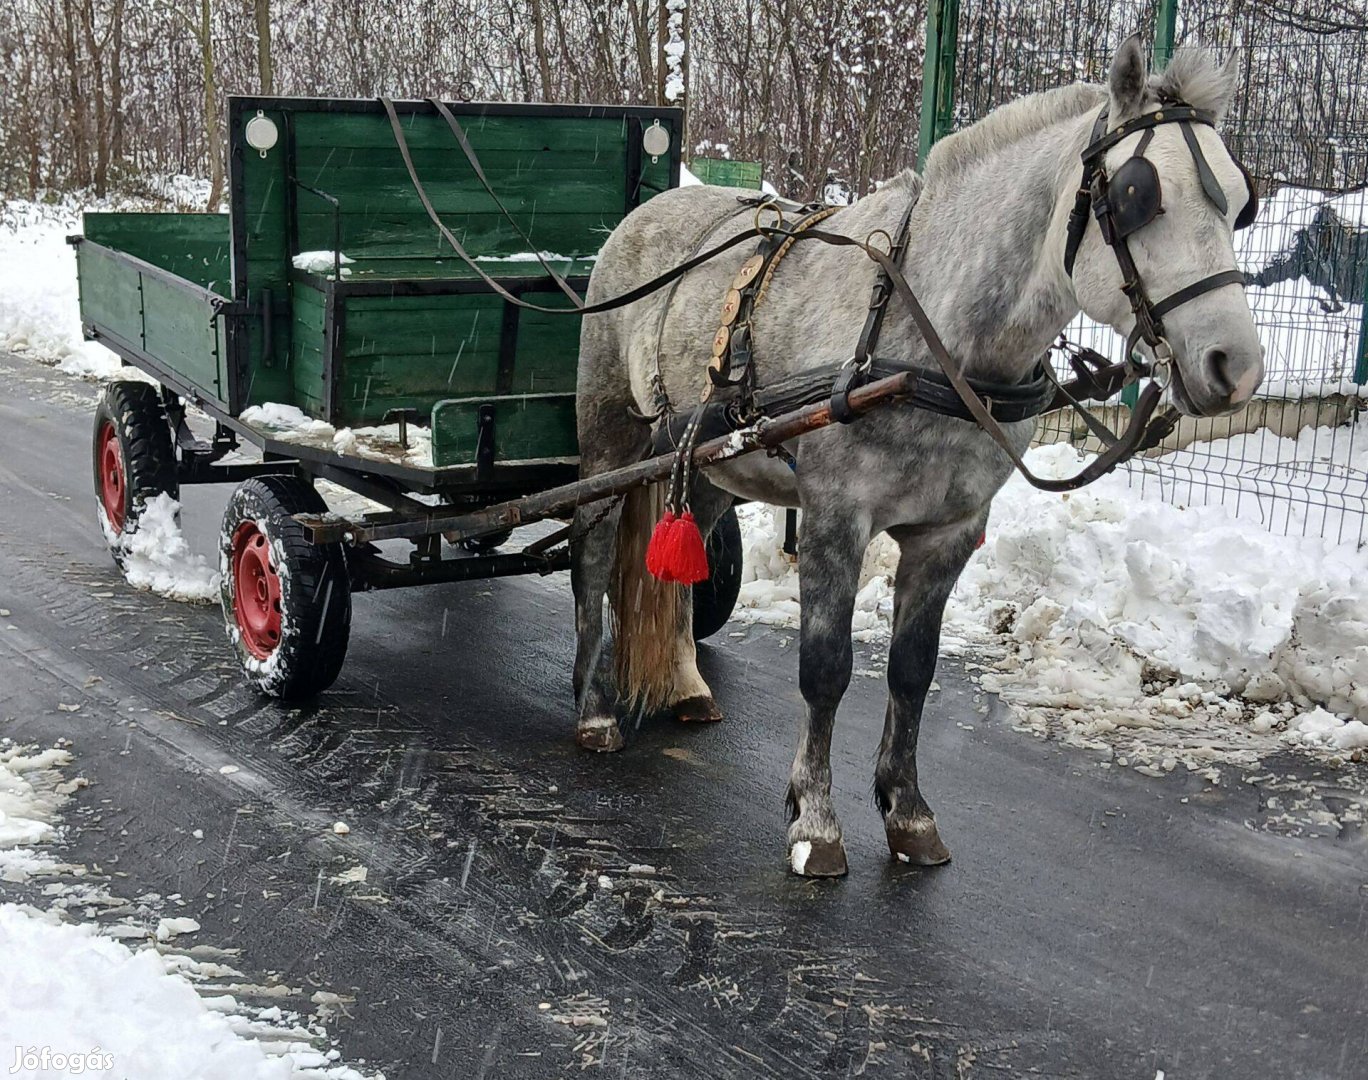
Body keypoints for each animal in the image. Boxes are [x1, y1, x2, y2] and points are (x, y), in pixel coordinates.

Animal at [566, 42, 1258, 876]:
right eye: (1134, 195)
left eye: (1242, 204)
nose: (1237, 367)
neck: (930, 334)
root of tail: (648, 210)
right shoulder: (835, 519)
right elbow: (826, 670)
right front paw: (815, 822)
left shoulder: (948, 534)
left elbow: (912, 670)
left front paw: (908, 812)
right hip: (612, 436)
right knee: (594, 555)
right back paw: (595, 710)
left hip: (707, 459)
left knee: (684, 551)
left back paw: (686, 683)